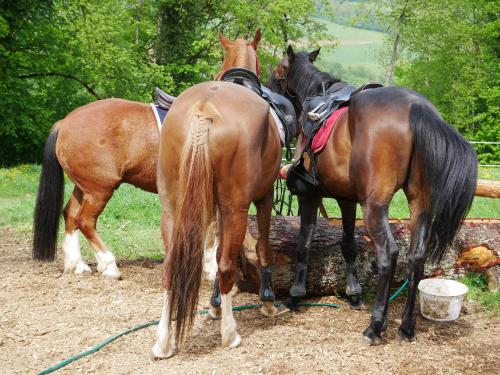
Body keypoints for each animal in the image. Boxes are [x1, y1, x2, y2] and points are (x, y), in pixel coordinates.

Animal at [152, 29, 286, 358]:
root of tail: (204, 110)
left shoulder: (213, 207)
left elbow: (214, 251)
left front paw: (212, 305)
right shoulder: (262, 196)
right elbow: (261, 248)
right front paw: (267, 300)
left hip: (173, 208)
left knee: (170, 267)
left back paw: (163, 341)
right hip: (237, 208)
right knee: (226, 266)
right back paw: (230, 333)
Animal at [276, 47, 478, 346]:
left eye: (279, 68)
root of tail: (416, 107)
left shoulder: (309, 195)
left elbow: (305, 243)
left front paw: (295, 295)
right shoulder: (347, 199)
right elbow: (348, 244)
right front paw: (354, 293)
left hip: (375, 206)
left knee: (388, 254)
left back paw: (375, 326)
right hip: (419, 204)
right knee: (416, 257)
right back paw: (406, 327)